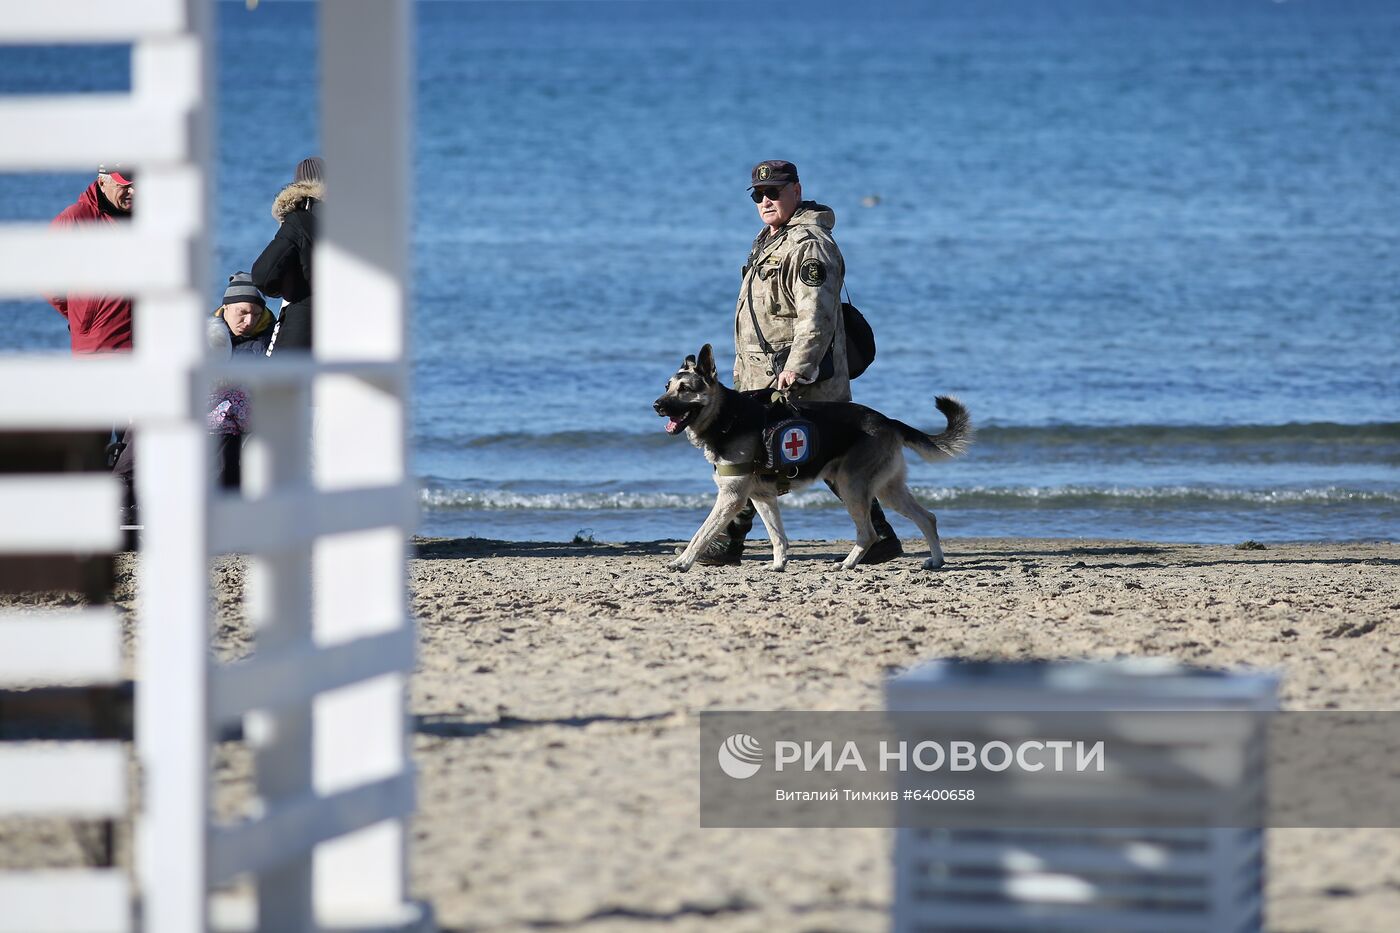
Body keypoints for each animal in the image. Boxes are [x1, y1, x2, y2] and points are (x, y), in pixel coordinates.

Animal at [655, 343, 974, 565]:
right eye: (667, 386)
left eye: (685, 389)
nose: (656, 405)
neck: (727, 417)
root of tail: (887, 421)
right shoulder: (761, 497)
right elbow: (777, 536)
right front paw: (778, 564)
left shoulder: (731, 498)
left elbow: (701, 533)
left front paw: (682, 562)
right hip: (887, 489)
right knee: (927, 518)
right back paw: (936, 560)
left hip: (850, 486)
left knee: (869, 532)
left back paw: (848, 563)